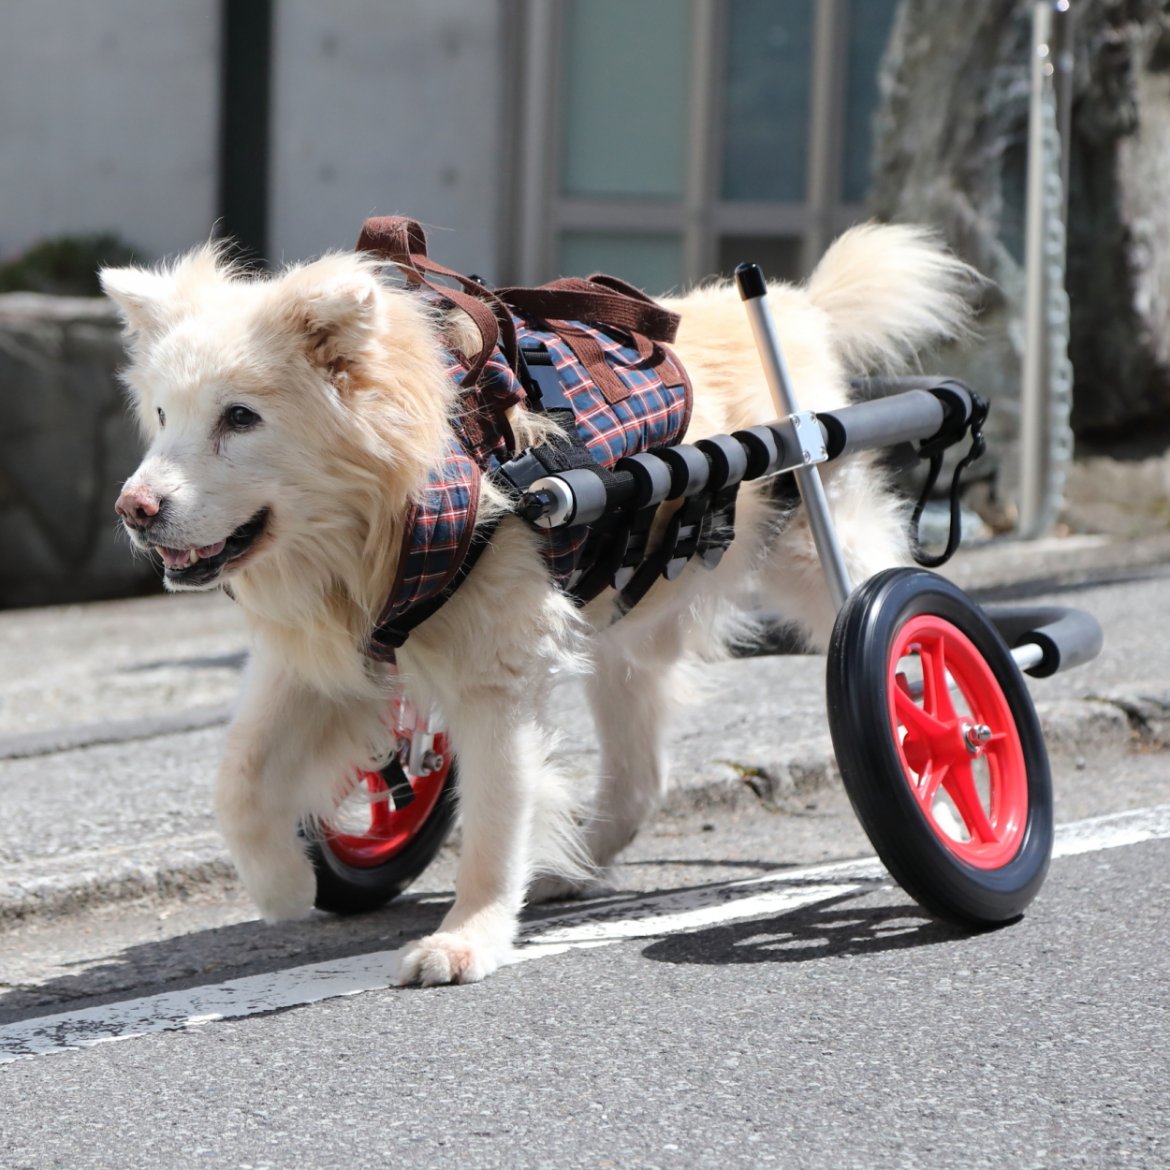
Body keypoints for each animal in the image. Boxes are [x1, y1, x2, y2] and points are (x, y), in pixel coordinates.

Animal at [105, 221, 973, 987]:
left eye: (240, 417)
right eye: (161, 414)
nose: (133, 509)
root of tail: (792, 309)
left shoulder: (495, 674)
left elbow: (494, 819)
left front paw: (466, 940)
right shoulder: (328, 656)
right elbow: (240, 778)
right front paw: (285, 886)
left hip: (823, 551)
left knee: (906, 651)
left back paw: (950, 783)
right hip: (630, 631)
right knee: (641, 772)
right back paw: (572, 862)